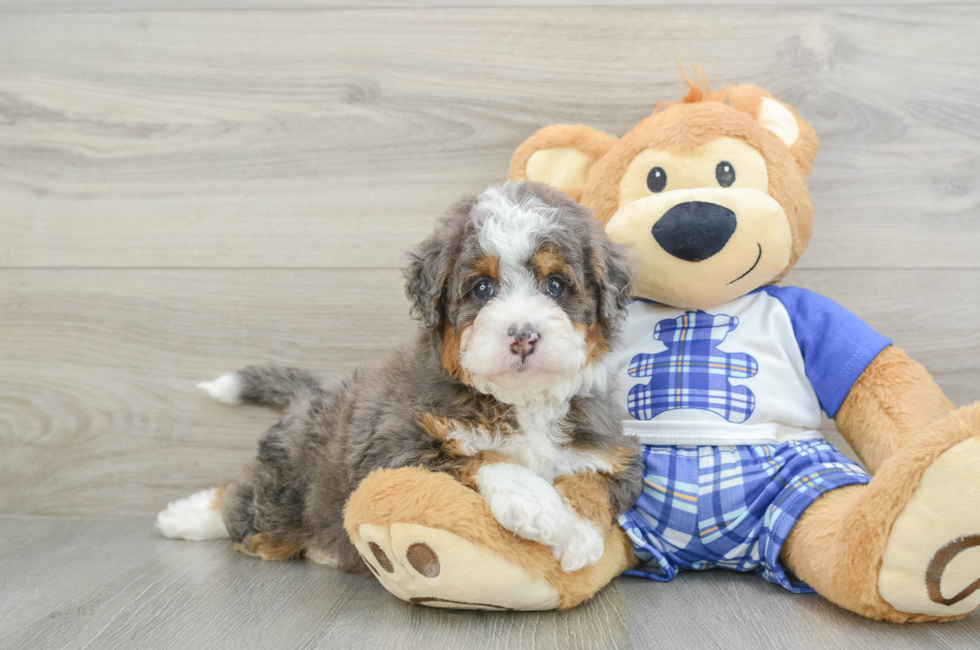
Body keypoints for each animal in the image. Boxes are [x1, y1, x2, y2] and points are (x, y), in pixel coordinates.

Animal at [157, 181, 648, 572]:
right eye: (482, 289)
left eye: (556, 285)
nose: (523, 336)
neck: (521, 402)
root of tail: (308, 399)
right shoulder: (394, 447)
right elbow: (478, 454)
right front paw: (537, 505)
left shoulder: (615, 450)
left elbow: (594, 479)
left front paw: (579, 533)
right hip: (283, 491)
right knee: (242, 507)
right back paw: (188, 517)